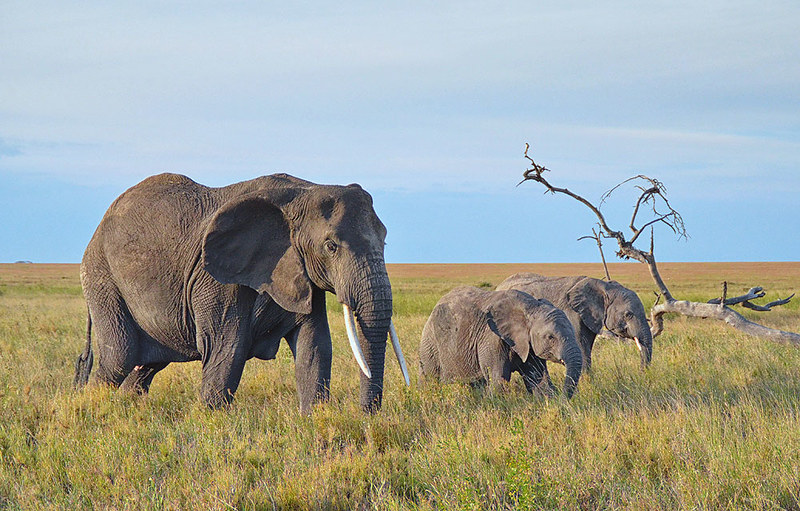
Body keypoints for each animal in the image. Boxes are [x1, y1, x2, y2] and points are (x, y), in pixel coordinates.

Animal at [74, 174, 410, 414]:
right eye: (331, 246)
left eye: (384, 241)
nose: (367, 415)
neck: (303, 191)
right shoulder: (218, 277)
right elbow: (228, 346)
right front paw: (211, 425)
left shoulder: (302, 275)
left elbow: (315, 347)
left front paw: (314, 419)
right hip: (102, 277)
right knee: (119, 357)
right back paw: (89, 412)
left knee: (144, 368)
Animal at [418, 286, 580, 398]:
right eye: (550, 337)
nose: (562, 400)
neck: (531, 307)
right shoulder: (491, 338)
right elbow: (498, 380)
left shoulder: (529, 345)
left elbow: (539, 381)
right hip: (430, 343)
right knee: (429, 378)